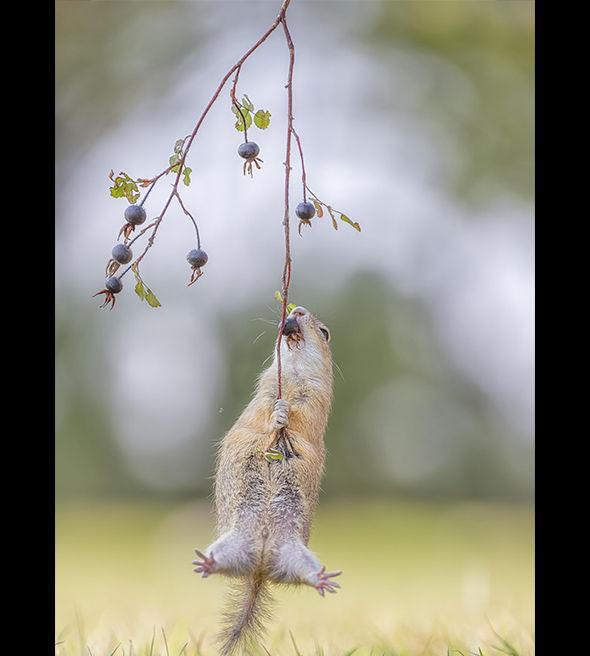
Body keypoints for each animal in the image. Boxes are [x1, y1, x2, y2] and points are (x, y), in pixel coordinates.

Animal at [194, 304, 342, 652]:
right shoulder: (263, 389)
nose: (297, 309)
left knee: (302, 574)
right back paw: (207, 563)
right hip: (234, 543)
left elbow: (303, 416)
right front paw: (277, 415)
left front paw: (285, 414)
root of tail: (259, 568)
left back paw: (321, 579)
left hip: (294, 554)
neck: (292, 373)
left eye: (325, 333)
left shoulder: (316, 398)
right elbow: (261, 411)